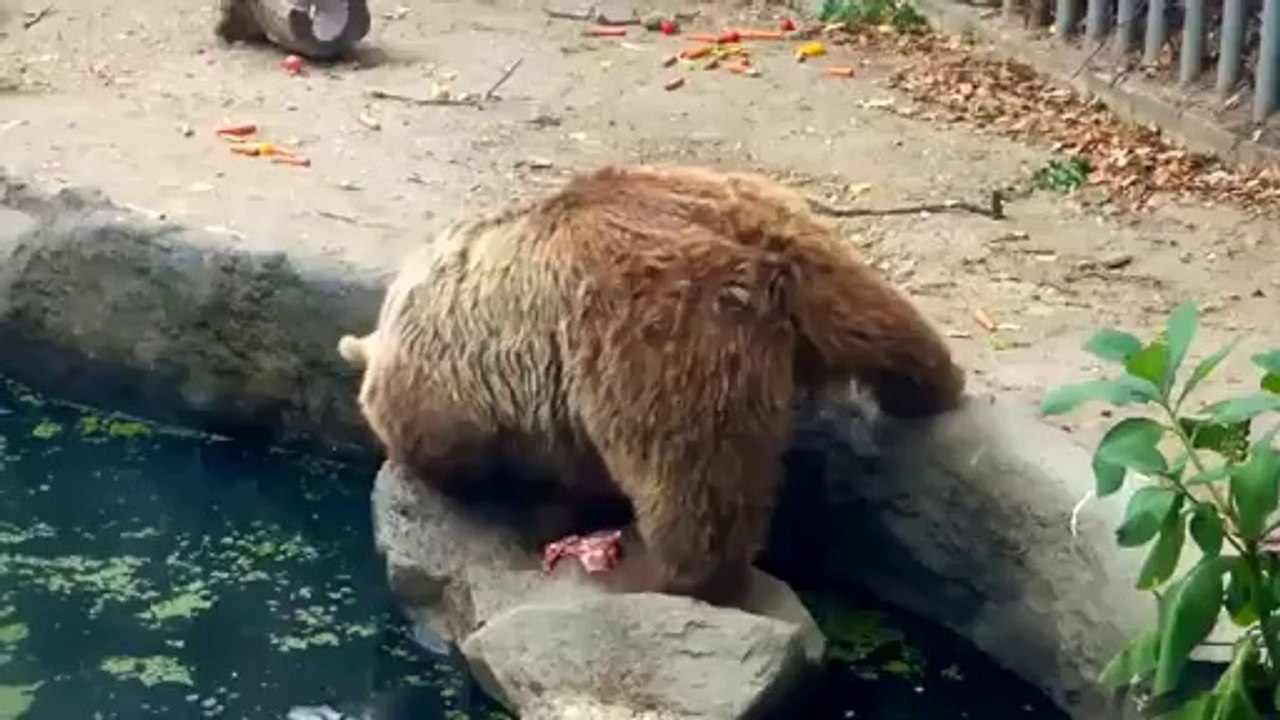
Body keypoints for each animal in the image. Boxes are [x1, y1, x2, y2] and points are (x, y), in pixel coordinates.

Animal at [338, 164, 966, 605]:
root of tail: (754, 261)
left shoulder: (454, 377)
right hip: (800, 242)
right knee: (882, 321)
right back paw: (930, 387)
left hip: (655, 341)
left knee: (688, 475)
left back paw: (682, 576)